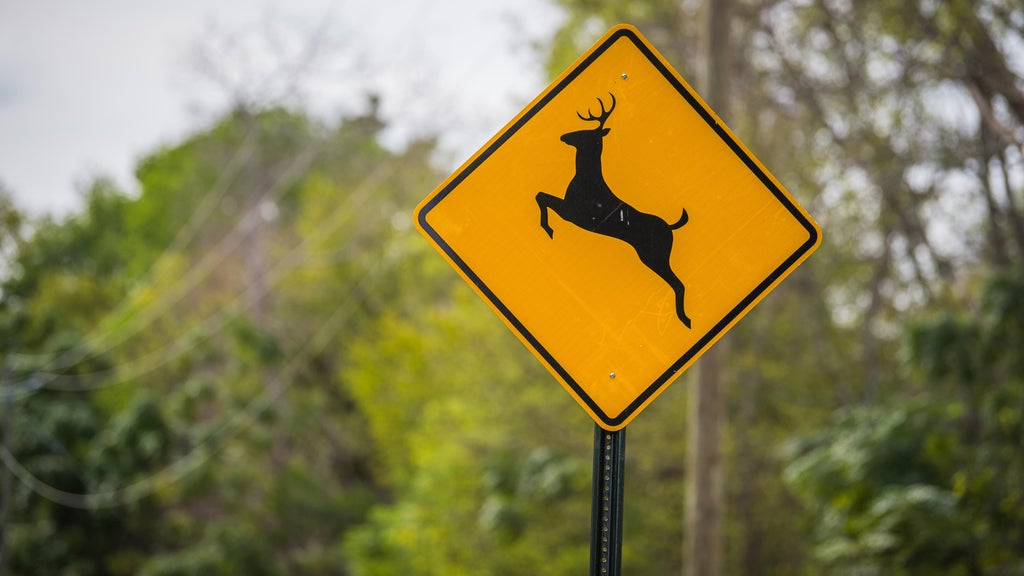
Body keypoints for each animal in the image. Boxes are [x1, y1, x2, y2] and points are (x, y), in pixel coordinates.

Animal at [535, 93, 692, 328]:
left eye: (585, 133)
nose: (564, 137)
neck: (586, 178)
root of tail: (671, 228)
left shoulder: (573, 213)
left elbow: (541, 196)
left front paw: (548, 229)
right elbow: (541, 196)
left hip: (654, 255)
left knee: (678, 283)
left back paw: (685, 319)